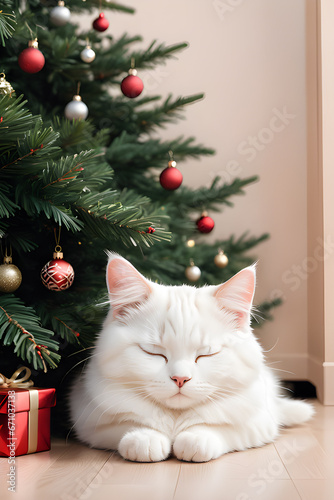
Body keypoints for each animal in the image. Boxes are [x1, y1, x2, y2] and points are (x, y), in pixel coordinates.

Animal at [69, 256, 314, 462]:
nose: (180, 379)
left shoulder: (257, 424)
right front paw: (145, 438)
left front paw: (194, 439)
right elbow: (130, 423)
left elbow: (219, 428)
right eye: (153, 352)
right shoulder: (90, 422)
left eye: (206, 354)